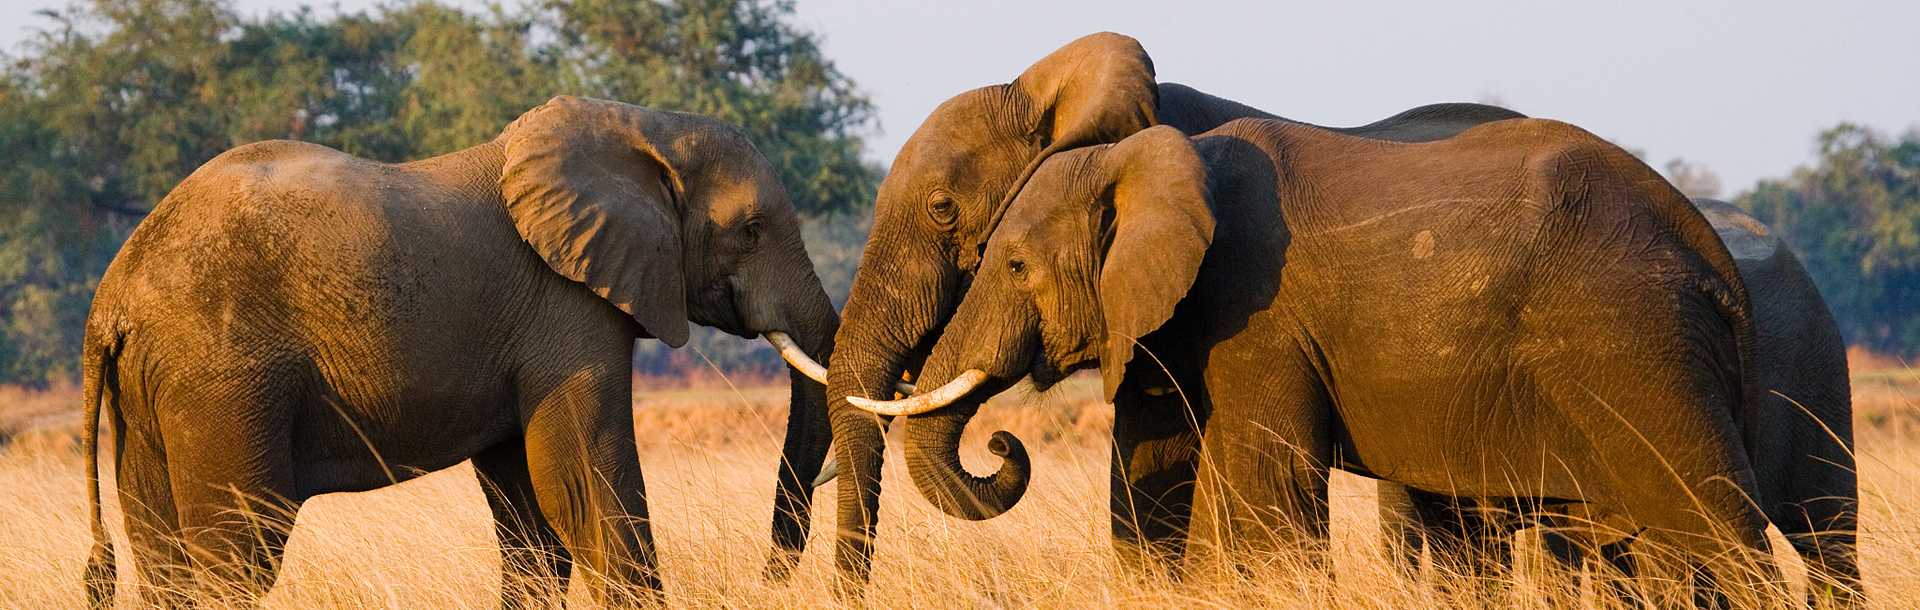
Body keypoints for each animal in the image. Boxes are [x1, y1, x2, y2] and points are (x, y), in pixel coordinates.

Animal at [78, 96, 837, 610]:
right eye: (751, 229)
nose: (767, 580)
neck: (641, 125)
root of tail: (111, 299)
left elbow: (533, 514)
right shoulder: (567, 308)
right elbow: (583, 485)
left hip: (153, 393)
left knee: (163, 554)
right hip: (223, 383)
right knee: (240, 555)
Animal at [852, 120, 1781, 606]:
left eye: (1013, 266)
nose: (1003, 444)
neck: (1147, 158)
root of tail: (1715, 260)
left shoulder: (1257, 318)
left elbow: (1267, 495)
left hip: (1638, 348)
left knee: (1714, 530)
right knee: (1664, 549)